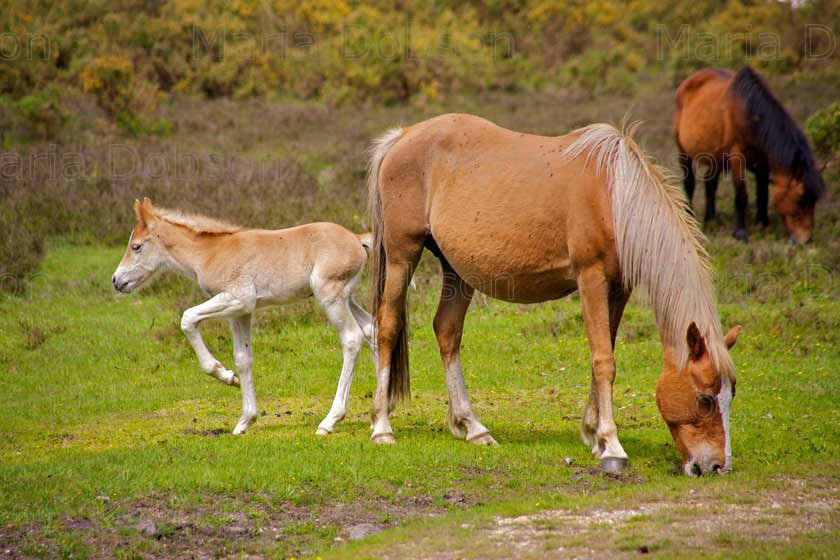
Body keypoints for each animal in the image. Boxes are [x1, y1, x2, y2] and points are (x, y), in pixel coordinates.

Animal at [111, 199, 374, 436]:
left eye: (136, 246)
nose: (116, 281)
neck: (209, 253)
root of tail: (356, 238)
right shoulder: (240, 313)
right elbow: (243, 358)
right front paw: (245, 420)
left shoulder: (239, 299)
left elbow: (187, 319)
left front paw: (224, 375)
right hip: (346, 298)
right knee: (371, 330)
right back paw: (376, 419)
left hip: (330, 296)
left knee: (352, 338)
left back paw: (329, 421)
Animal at [368, 114, 740, 476]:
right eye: (705, 398)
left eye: (731, 394)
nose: (715, 466)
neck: (615, 197)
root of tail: (401, 137)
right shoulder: (591, 279)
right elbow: (604, 361)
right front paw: (612, 446)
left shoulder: (619, 290)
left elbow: (604, 353)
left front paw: (593, 434)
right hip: (403, 256)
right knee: (387, 328)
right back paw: (382, 427)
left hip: (457, 272)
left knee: (447, 331)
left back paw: (473, 427)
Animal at [672, 66, 824, 242]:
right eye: (800, 199)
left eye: (814, 201)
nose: (805, 239)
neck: (749, 114)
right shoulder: (737, 156)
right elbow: (741, 196)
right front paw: (740, 232)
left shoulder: (763, 158)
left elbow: (763, 191)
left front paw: (762, 222)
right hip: (683, 150)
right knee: (689, 184)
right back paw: (690, 217)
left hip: (716, 156)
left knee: (710, 184)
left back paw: (710, 220)